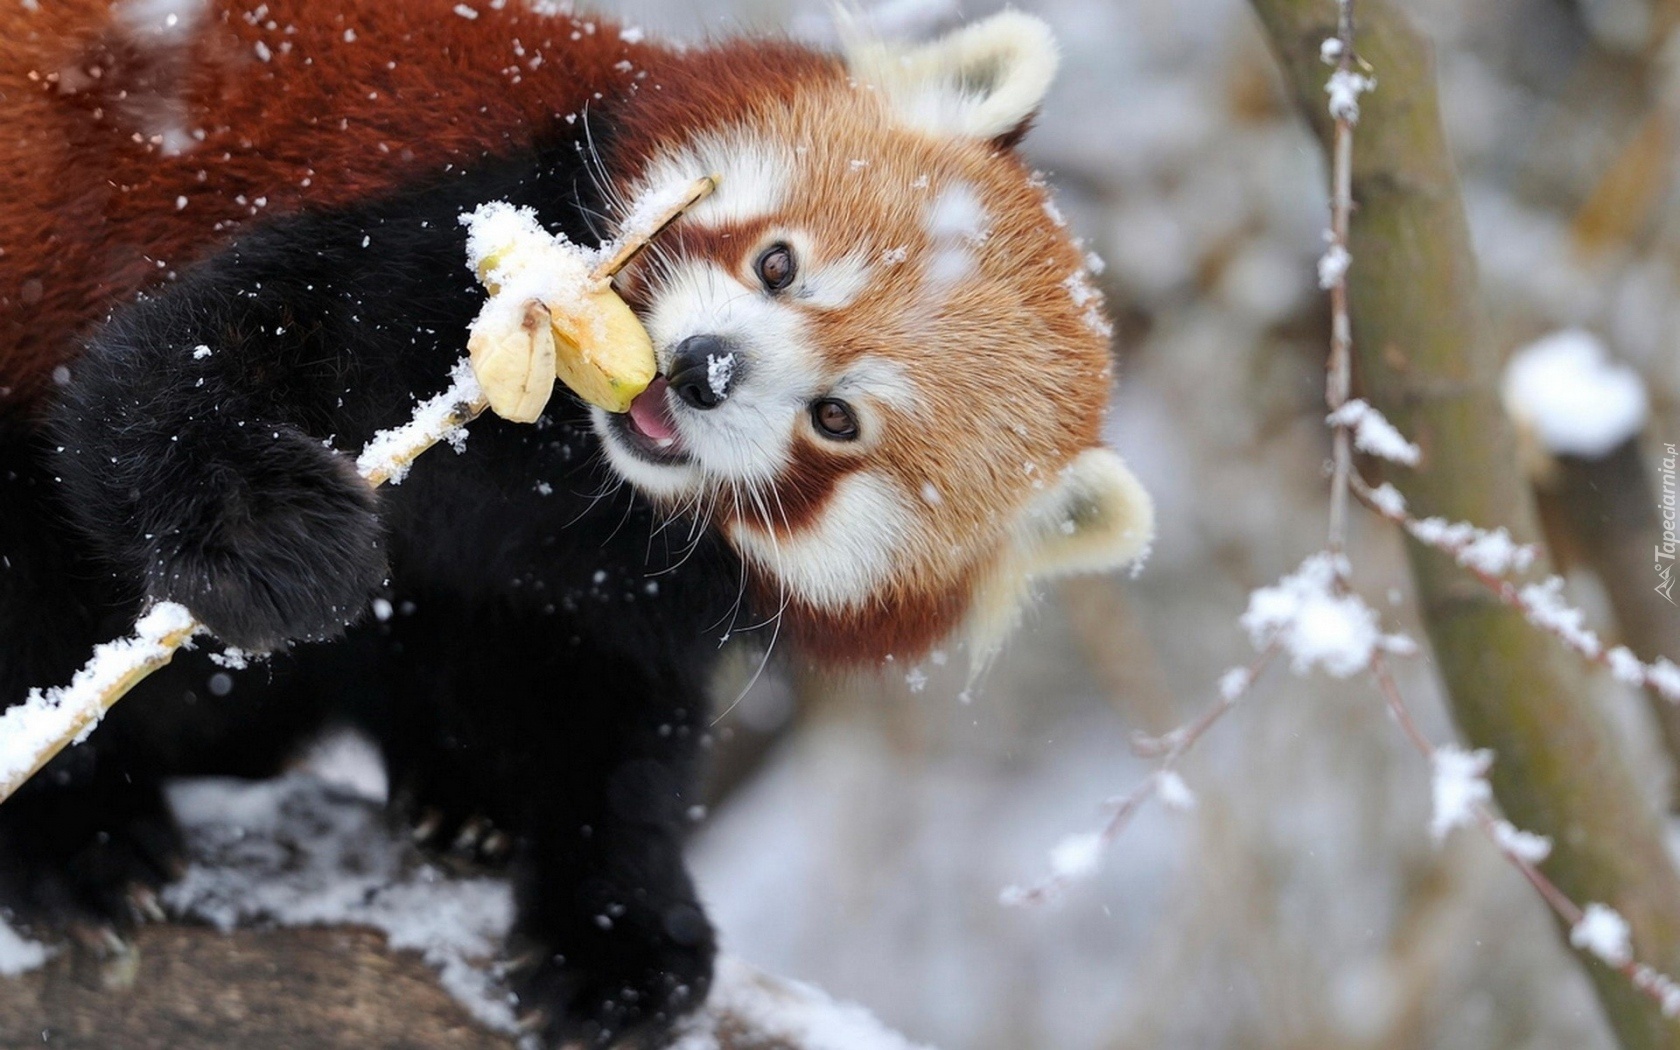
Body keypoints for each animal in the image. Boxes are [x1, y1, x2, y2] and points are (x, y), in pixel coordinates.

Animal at [0, 2, 1155, 1041]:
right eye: (778, 264)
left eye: (838, 419)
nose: (704, 369)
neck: (565, 469)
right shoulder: (453, 229)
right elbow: (174, 366)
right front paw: (274, 536)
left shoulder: (622, 583)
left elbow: (610, 721)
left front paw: (622, 934)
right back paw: (73, 833)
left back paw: (461, 796)